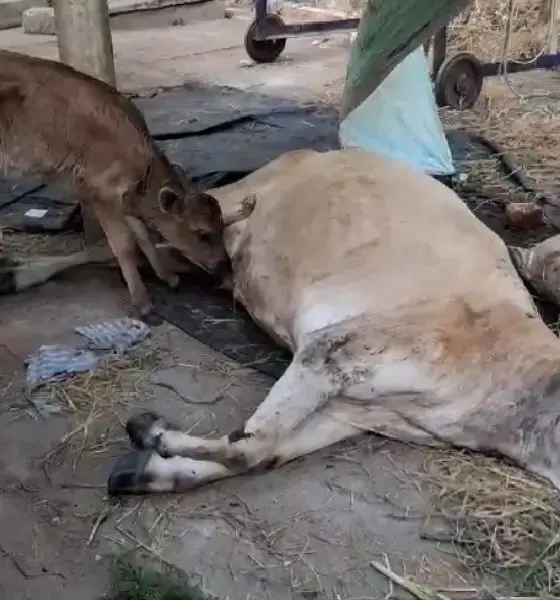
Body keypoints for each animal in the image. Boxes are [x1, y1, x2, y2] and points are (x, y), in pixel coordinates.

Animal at [106, 149, 560, 496]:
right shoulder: (334, 349)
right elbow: (252, 445)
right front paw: (151, 433)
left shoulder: (354, 413)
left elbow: (262, 451)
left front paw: (141, 471)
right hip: (222, 202)